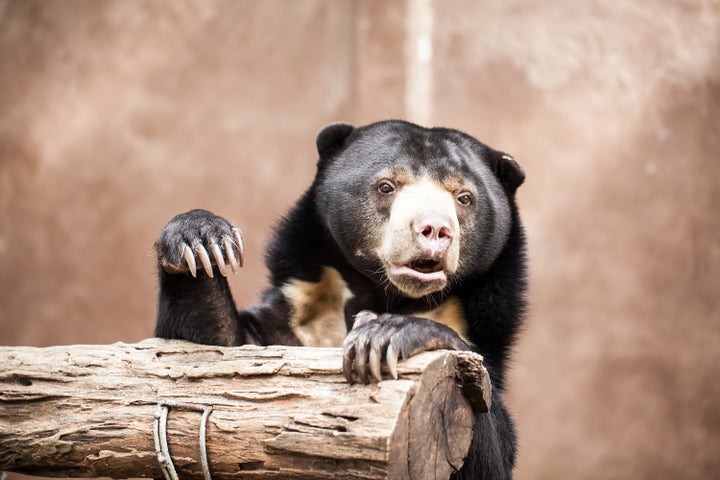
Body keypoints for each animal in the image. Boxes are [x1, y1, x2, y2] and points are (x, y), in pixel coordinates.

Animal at [156, 119, 528, 476]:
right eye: (386, 186)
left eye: (464, 197)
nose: (435, 229)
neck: (384, 293)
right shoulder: (296, 318)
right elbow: (210, 349)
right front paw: (201, 240)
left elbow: (487, 445)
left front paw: (387, 335)